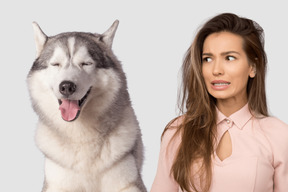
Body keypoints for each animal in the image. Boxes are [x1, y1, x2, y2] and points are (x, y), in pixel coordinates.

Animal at [27, 21, 146, 192]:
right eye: (56, 64)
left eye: (86, 63)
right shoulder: (56, 183)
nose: (67, 86)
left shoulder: (129, 183)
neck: (80, 135)